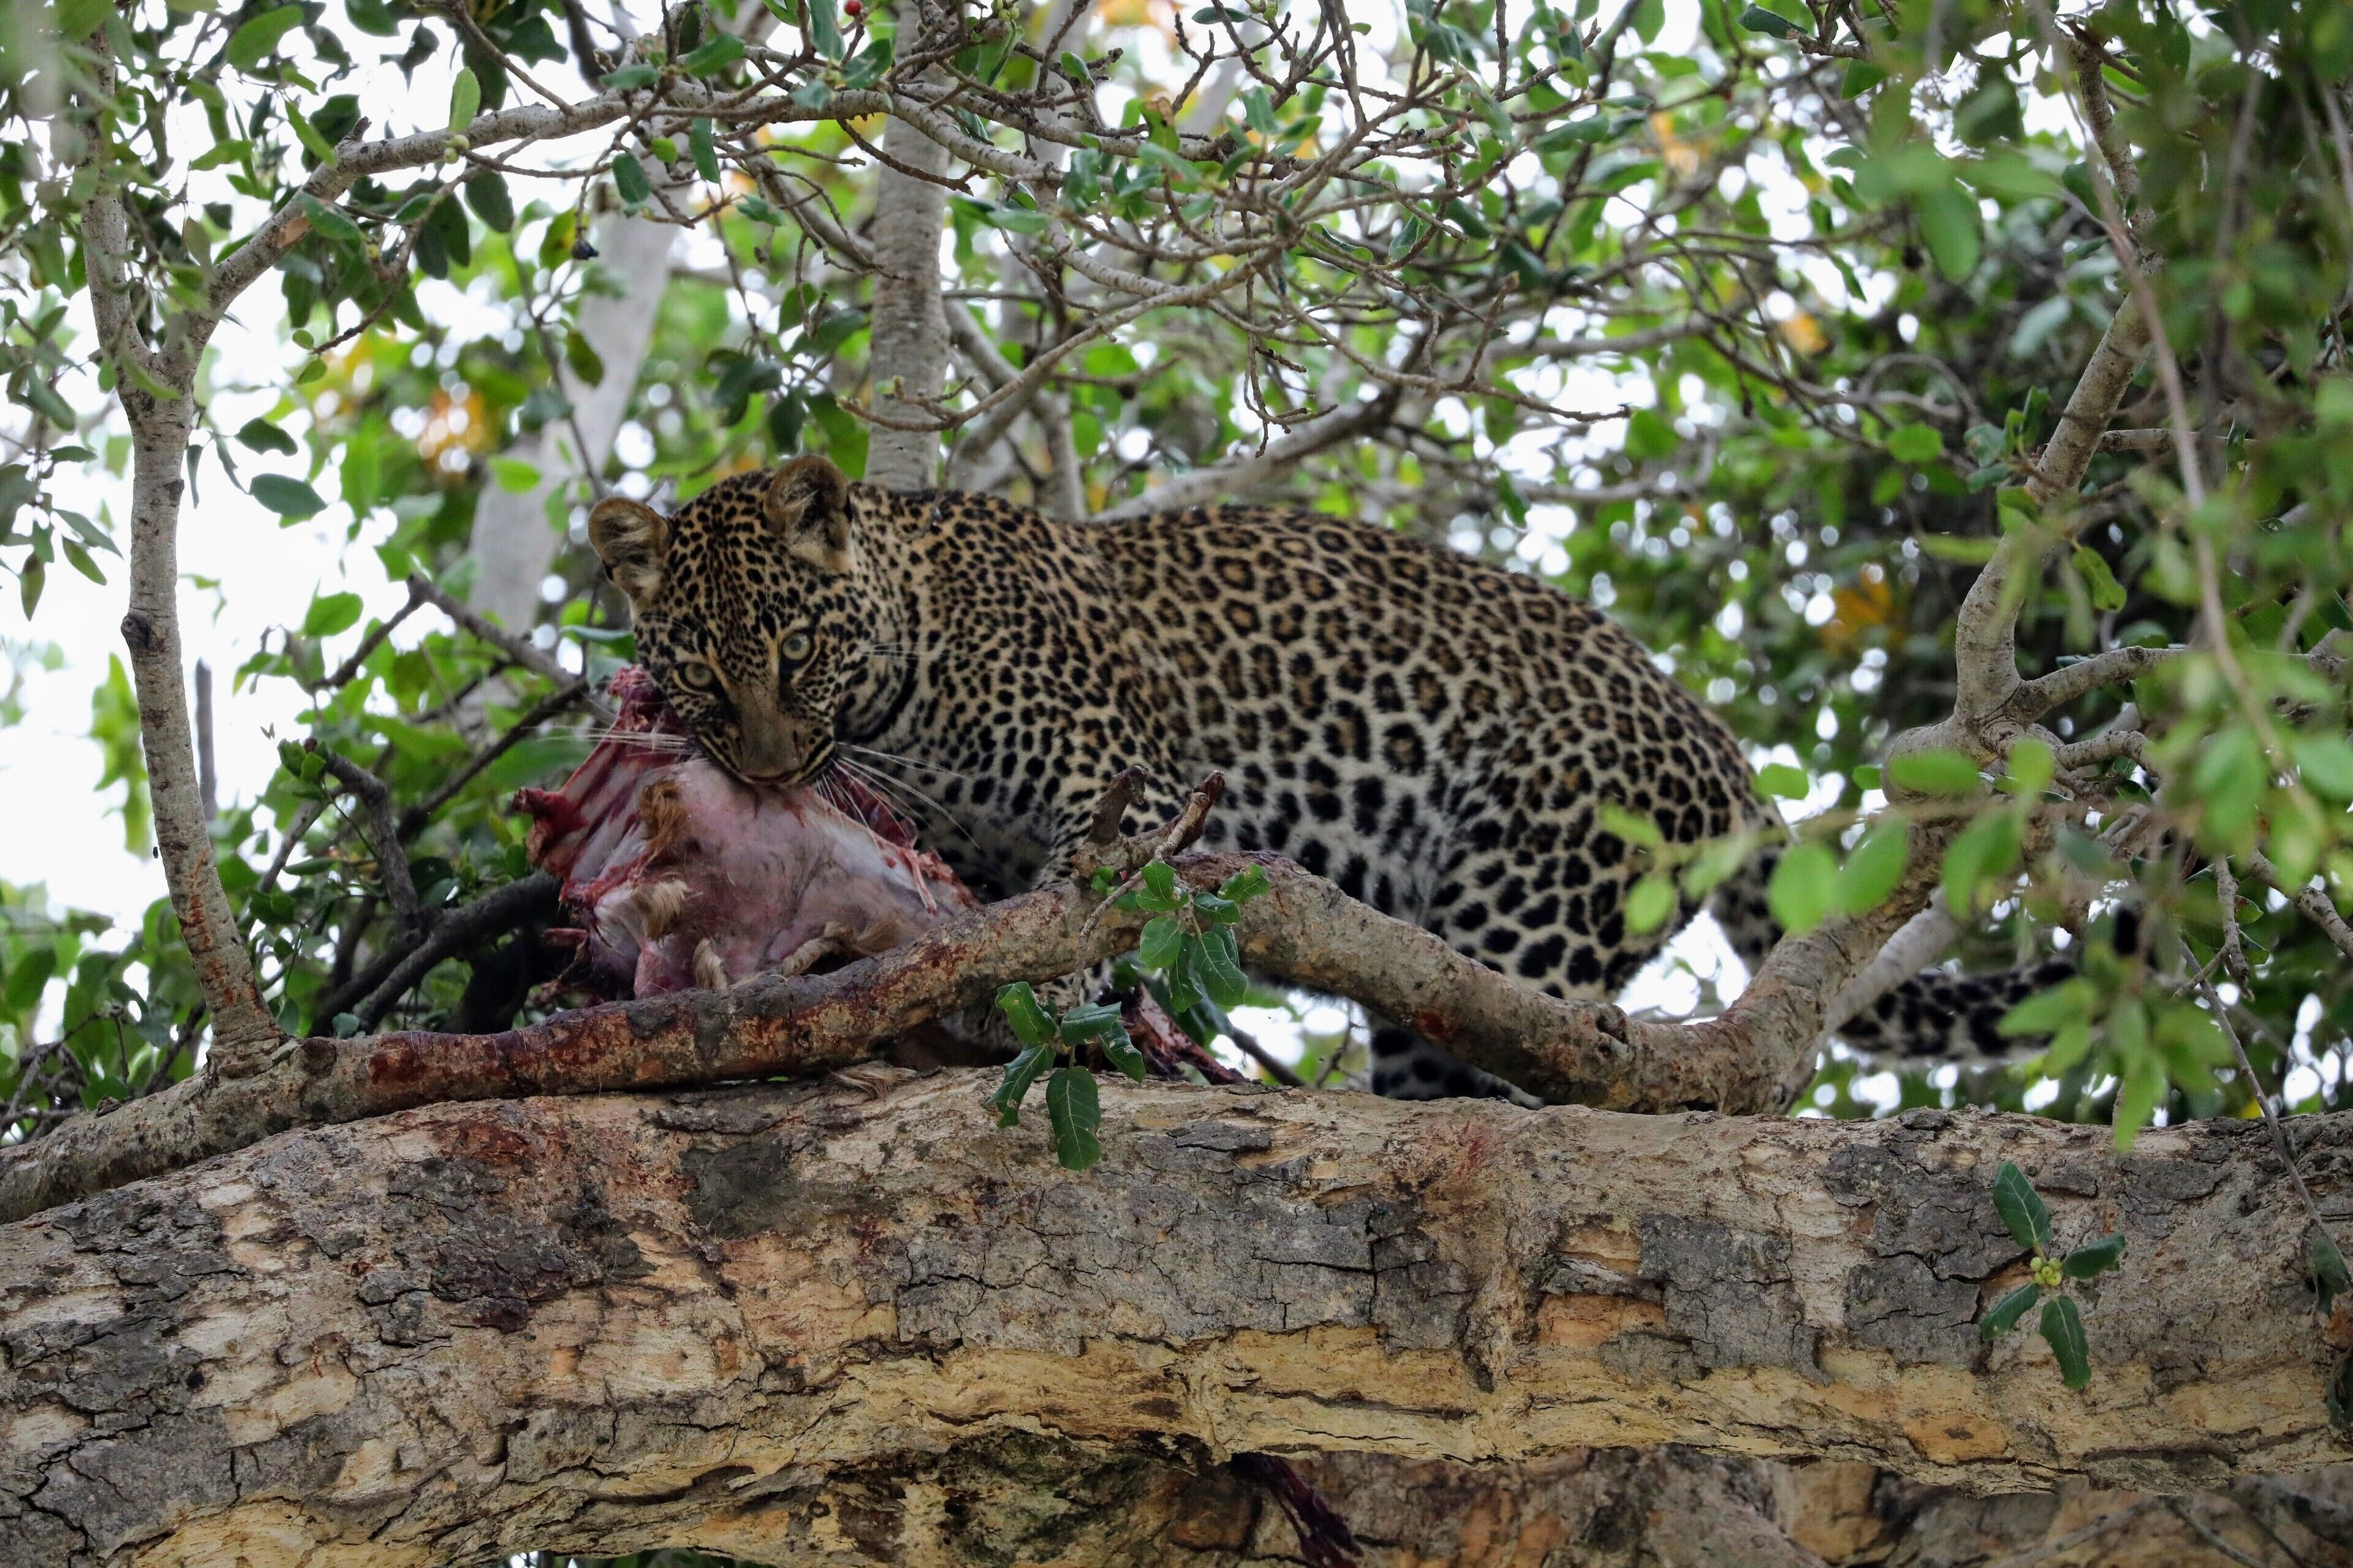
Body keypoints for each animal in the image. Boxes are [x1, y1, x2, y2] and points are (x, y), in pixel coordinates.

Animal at [586, 456, 2048, 1099]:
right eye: (703, 674)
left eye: (796, 649)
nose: (772, 767)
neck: (906, 676)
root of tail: (1726, 754)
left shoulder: (1120, 775)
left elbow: (1088, 898)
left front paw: (1054, 1004)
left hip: (1532, 896)